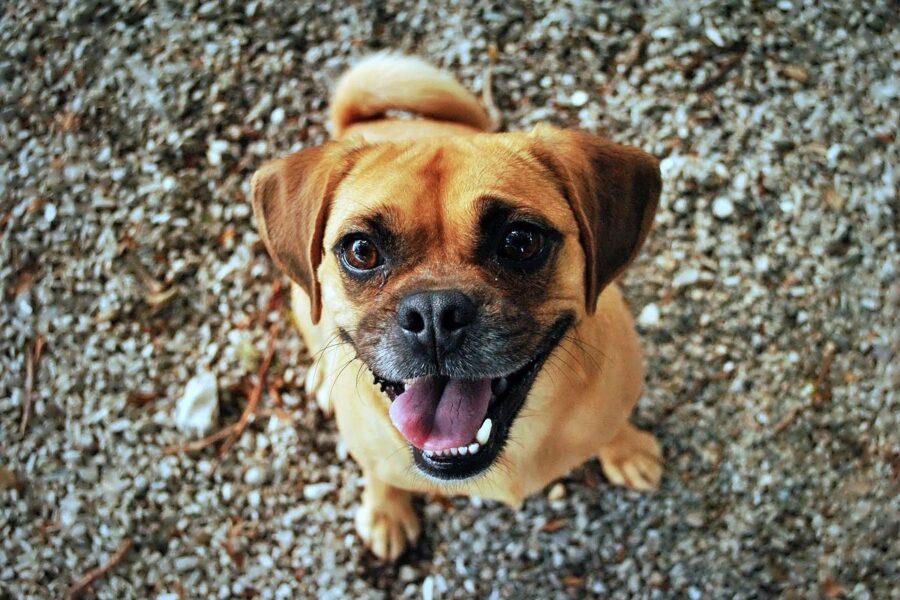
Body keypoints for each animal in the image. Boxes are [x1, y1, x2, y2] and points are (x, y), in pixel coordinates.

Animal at [250, 54, 664, 560]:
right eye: (361, 250)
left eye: (520, 241)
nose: (434, 314)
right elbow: (378, 474)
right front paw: (386, 511)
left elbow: (615, 427)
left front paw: (627, 450)